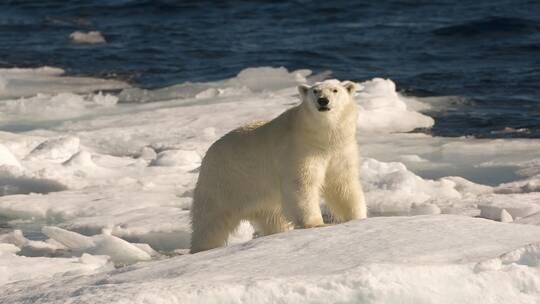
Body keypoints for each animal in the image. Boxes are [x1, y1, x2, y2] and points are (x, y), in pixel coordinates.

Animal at [190, 79, 368, 253]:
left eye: (335, 90)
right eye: (315, 91)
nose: (323, 100)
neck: (322, 138)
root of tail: (207, 156)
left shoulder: (340, 151)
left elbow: (342, 184)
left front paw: (357, 217)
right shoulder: (298, 150)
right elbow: (302, 185)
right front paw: (316, 224)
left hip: (259, 194)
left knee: (272, 217)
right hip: (224, 182)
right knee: (211, 221)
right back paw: (203, 248)